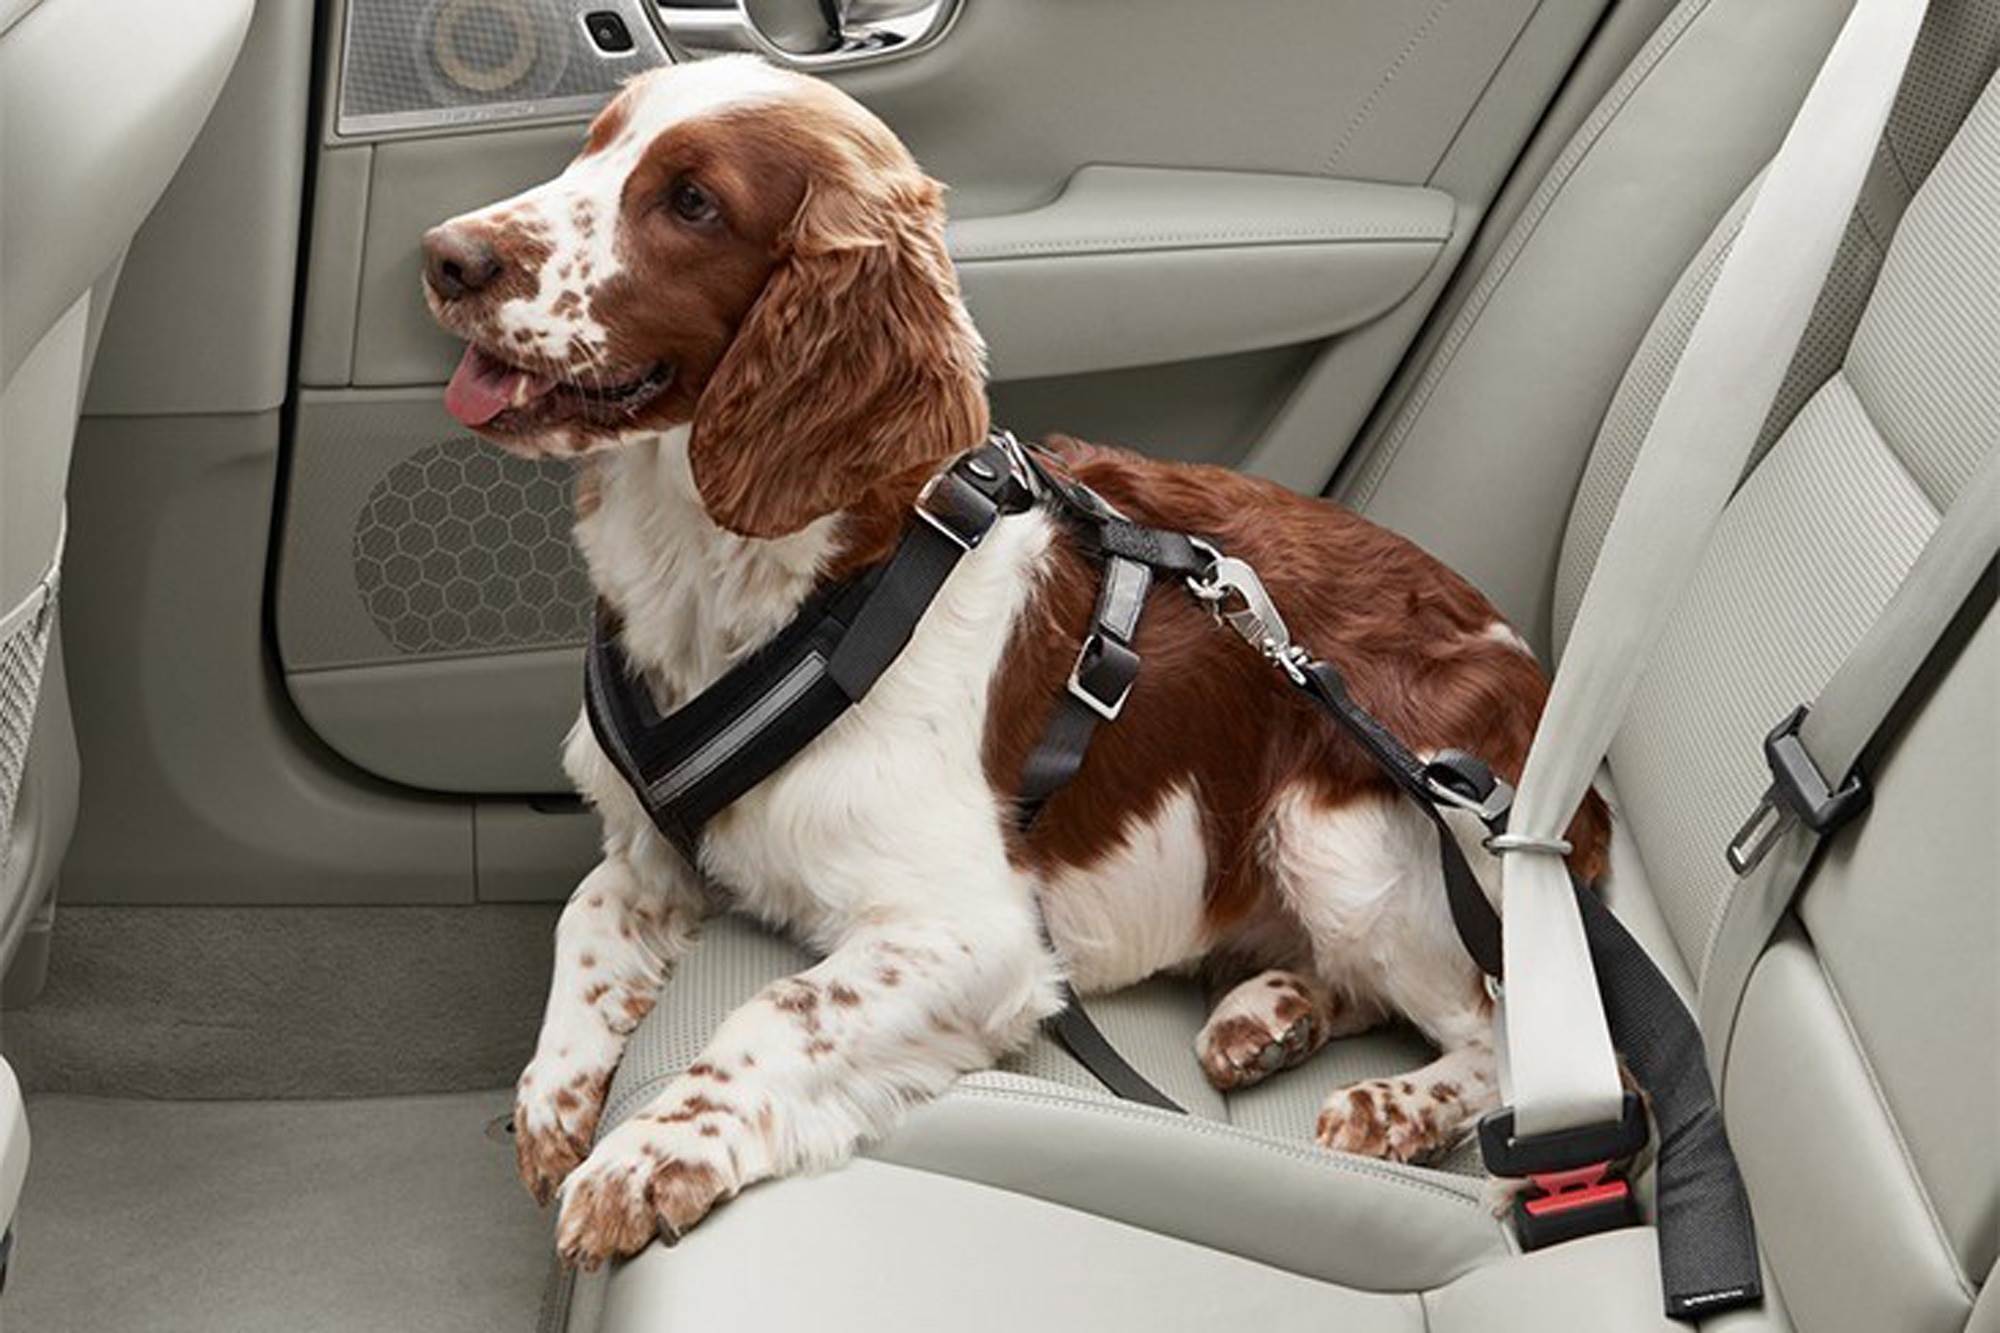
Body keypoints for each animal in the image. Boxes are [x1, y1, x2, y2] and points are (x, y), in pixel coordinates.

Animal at [422, 57, 1608, 1264]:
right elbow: (587, 916)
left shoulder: (972, 932)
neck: (766, 586)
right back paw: (1268, 1015)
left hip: (1334, 827)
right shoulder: (655, 844)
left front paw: (647, 1152)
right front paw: (555, 1103)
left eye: (693, 201)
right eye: (594, 144)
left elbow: (778, 1009)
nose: (446, 255)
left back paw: (1391, 1103)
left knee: (1526, 1044)